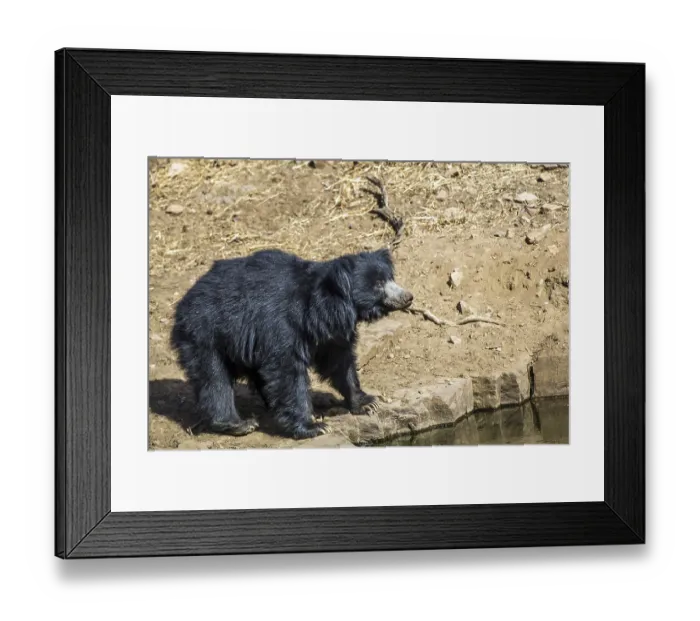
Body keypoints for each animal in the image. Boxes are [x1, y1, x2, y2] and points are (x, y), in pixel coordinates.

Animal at [170, 247, 413, 439]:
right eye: (378, 284)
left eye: (390, 277)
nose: (408, 297)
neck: (324, 307)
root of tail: (184, 301)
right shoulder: (281, 326)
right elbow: (287, 372)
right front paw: (314, 426)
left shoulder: (330, 333)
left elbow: (339, 363)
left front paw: (367, 402)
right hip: (205, 334)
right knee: (214, 378)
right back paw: (239, 424)